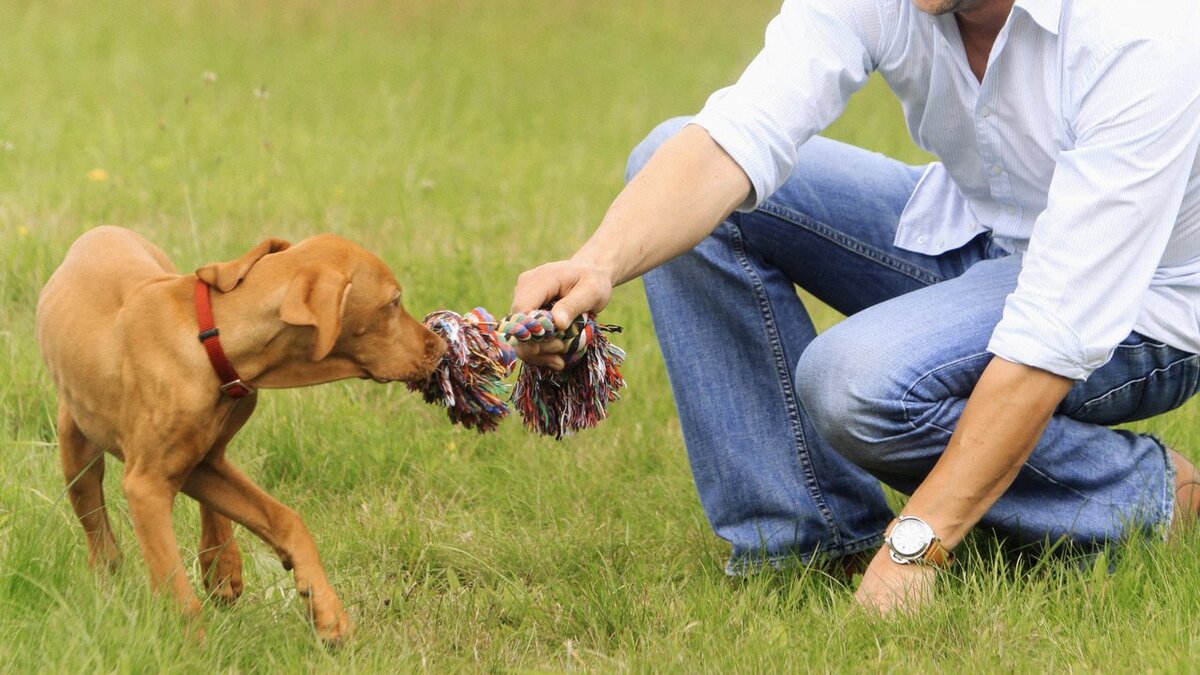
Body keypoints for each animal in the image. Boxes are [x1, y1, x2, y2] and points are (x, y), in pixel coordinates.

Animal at [41, 223, 451, 638]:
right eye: (394, 302)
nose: (441, 346)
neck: (211, 339)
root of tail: (102, 229)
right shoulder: (146, 485)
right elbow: (176, 587)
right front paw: (195, 646)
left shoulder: (198, 463)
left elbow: (286, 520)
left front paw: (327, 612)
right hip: (78, 453)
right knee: (99, 531)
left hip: (206, 457)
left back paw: (222, 568)